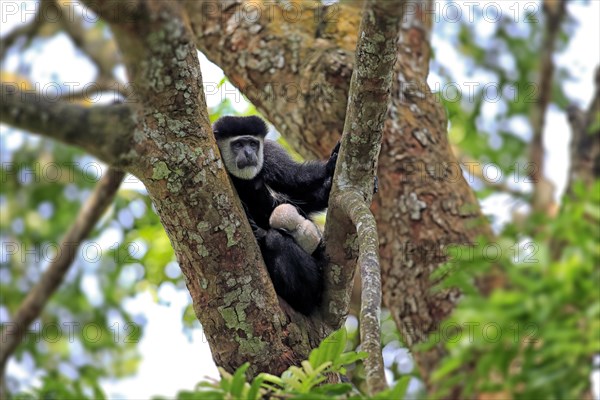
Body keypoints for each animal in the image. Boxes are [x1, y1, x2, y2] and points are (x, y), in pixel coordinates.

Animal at [214, 115, 338, 316]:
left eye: (253, 143)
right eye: (238, 144)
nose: (249, 153)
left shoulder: (270, 153)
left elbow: (295, 181)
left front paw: (330, 165)